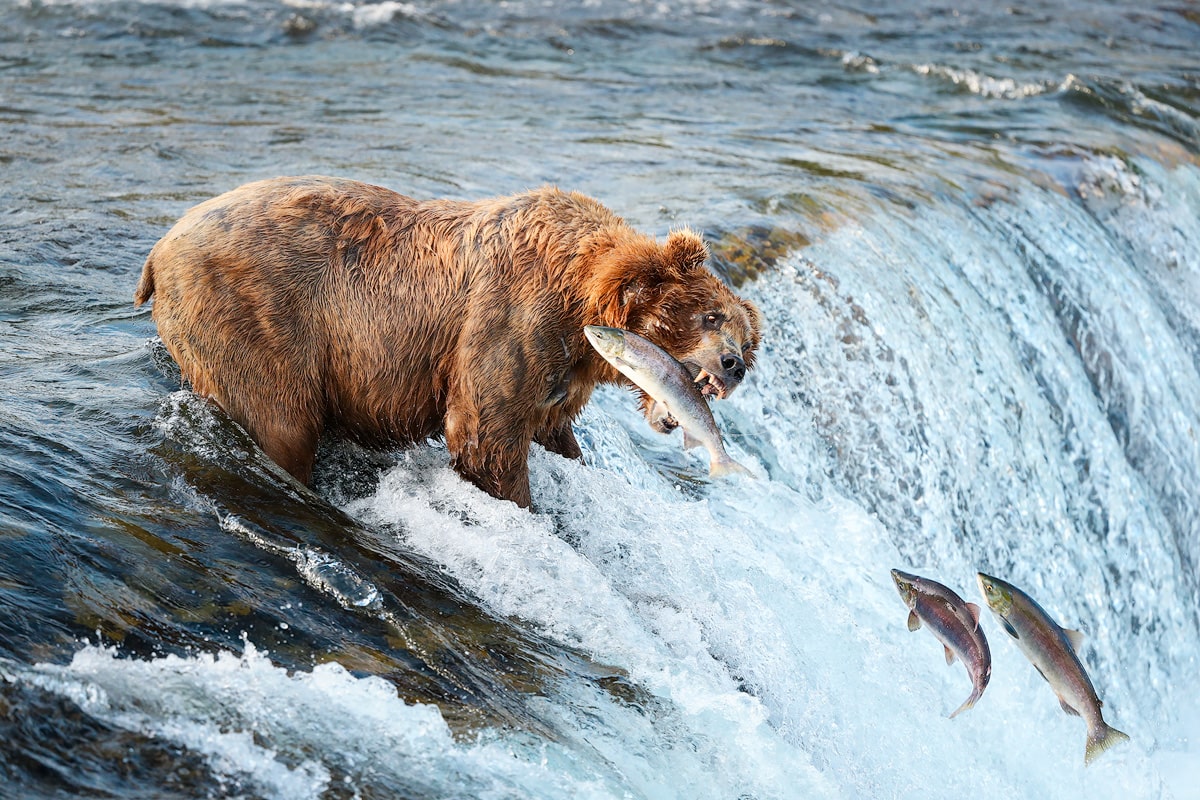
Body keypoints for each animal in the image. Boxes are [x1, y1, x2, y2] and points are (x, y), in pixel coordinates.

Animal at [136, 178, 758, 510]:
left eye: (748, 339)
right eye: (709, 314)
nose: (733, 367)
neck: (580, 297)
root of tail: (160, 248)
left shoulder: (561, 372)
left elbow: (552, 430)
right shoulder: (509, 321)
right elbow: (486, 433)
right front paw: (523, 506)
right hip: (256, 316)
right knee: (279, 419)